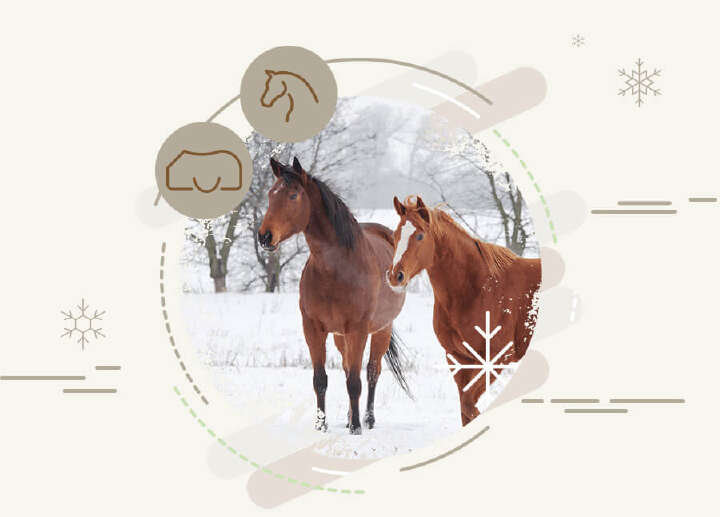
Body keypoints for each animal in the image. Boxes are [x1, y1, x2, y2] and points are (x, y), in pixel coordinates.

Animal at [257, 157, 411, 434]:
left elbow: (355, 381)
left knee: (372, 372)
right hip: (341, 336)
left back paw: (368, 419)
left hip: (381, 330)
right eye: (270, 194)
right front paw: (321, 425)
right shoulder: (313, 328)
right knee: (348, 367)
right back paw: (351, 417)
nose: (264, 236)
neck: (338, 269)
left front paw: (356, 428)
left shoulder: (358, 329)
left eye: (293, 195)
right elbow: (321, 379)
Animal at [387, 196, 541, 426]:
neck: (477, 290)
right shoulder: (459, 359)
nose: (395, 276)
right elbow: (465, 408)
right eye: (396, 235)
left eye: (420, 235)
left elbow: (469, 406)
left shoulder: (496, 358)